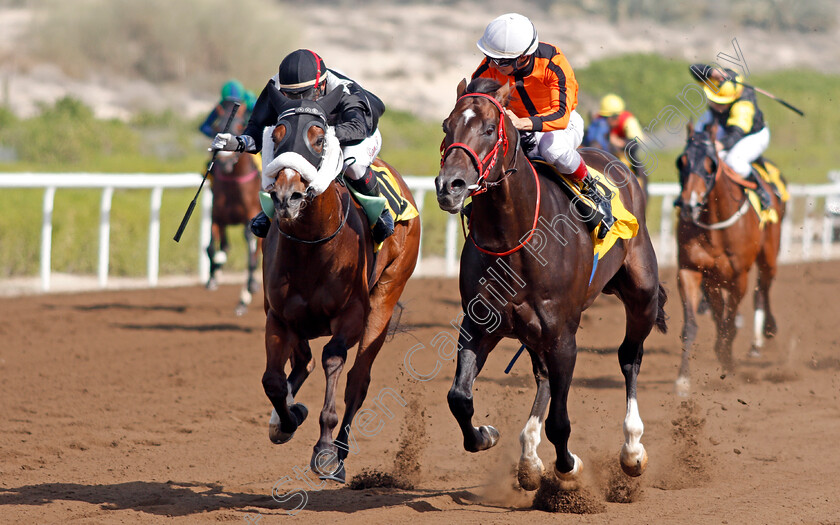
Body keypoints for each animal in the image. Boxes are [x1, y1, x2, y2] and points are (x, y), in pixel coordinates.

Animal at [672, 121, 784, 396]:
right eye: (681, 161)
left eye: (711, 163)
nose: (688, 205)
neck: (714, 225)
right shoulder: (690, 270)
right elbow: (692, 326)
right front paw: (683, 379)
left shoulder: (738, 276)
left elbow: (730, 324)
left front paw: (728, 364)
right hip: (713, 279)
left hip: (768, 258)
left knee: (762, 289)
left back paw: (766, 331)